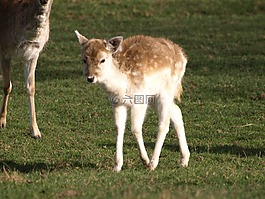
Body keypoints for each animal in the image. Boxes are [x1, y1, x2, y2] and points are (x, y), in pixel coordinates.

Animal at [0, 0, 53, 138]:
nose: (44, 1)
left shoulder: (33, 55)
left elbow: (31, 88)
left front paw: (36, 131)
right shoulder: (4, 50)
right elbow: (7, 86)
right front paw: (2, 122)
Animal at [75, 31, 190, 171]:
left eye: (102, 59)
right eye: (84, 59)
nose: (90, 78)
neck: (121, 85)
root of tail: (183, 55)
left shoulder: (139, 100)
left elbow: (135, 129)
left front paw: (145, 160)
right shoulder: (117, 103)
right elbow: (119, 128)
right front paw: (117, 166)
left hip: (167, 90)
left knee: (163, 124)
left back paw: (153, 163)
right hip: (155, 96)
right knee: (177, 111)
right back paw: (184, 160)